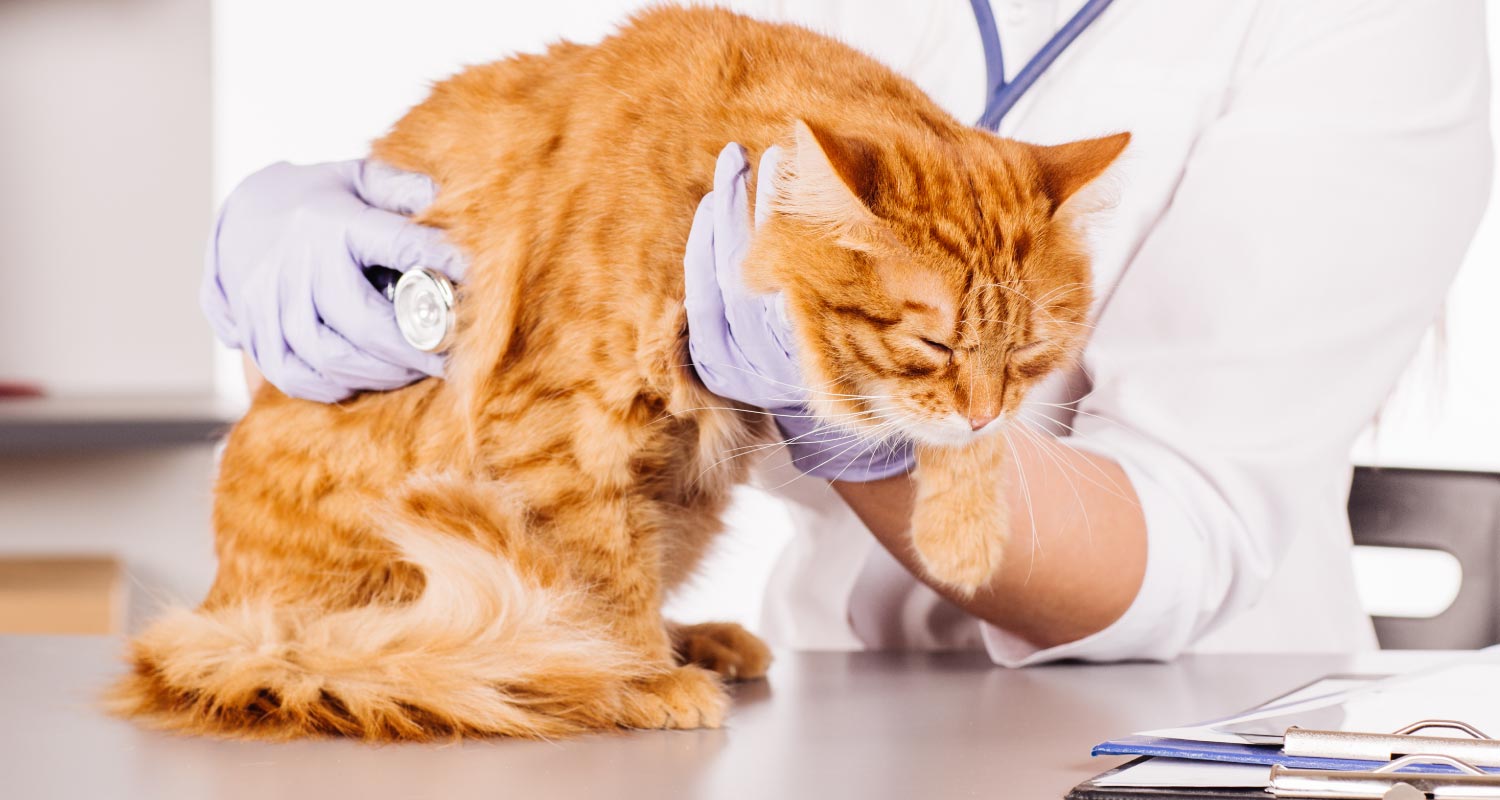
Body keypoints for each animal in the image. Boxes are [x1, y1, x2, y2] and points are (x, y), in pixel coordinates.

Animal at [114, 7, 1128, 741]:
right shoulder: (562, 427)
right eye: (935, 346)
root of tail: (228, 622)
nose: (985, 409)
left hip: (688, 504)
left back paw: (703, 641)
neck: (706, 180)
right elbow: (597, 576)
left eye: (1028, 353)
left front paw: (963, 534)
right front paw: (633, 681)